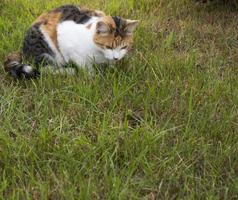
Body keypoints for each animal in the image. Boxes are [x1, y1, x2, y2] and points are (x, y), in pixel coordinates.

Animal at [3, 4, 139, 78]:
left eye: (124, 47)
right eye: (109, 47)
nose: (116, 58)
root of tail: (22, 50)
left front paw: (112, 68)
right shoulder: (68, 44)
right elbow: (85, 66)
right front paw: (92, 77)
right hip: (47, 50)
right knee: (45, 69)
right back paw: (68, 71)